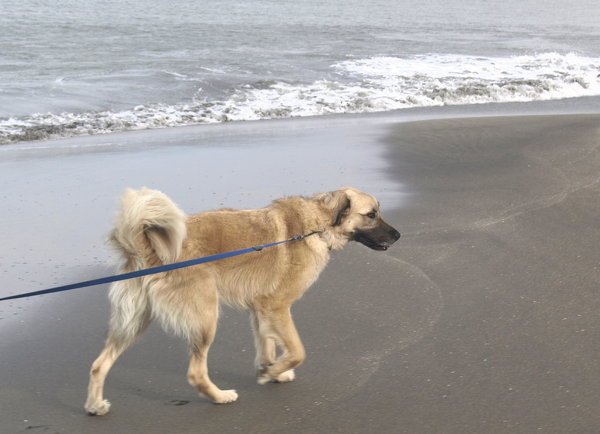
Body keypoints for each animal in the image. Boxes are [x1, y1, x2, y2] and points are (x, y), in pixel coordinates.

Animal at [85, 187, 400, 415]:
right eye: (371, 214)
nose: (398, 235)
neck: (317, 222)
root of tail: (146, 250)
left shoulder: (261, 309)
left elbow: (267, 344)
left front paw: (270, 369)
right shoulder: (277, 307)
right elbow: (297, 351)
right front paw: (273, 372)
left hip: (133, 324)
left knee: (99, 364)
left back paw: (95, 405)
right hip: (205, 318)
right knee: (196, 373)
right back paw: (220, 396)